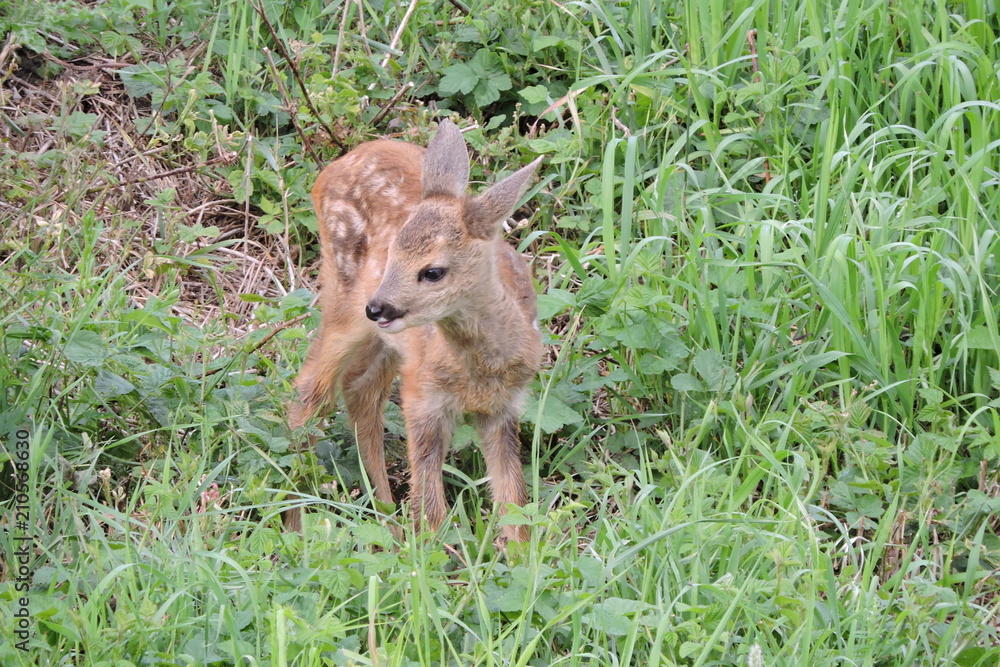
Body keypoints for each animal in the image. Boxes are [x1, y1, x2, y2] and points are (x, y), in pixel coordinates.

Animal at [288, 120, 543, 542]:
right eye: (391, 253)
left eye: (433, 271)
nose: (378, 306)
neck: (480, 368)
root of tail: (335, 166)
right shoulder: (422, 396)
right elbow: (429, 500)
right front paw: (435, 550)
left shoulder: (505, 407)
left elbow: (513, 498)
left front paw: (520, 553)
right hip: (344, 300)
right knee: (312, 390)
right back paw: (296, 511)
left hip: (387, 340)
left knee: (360, 390)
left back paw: (385, 514)